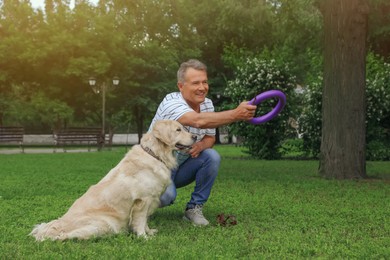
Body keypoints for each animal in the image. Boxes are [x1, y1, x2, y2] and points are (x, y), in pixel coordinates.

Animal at [29, 120, 195, 242]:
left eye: (184, 128)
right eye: (178, 130)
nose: (195, 137)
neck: (155, 154)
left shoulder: (151, 200)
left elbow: (146, 221)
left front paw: (150, 232)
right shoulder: (143, 200)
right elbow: (140, 221)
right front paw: (143, 237)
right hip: (102, 224)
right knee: (65, 236)